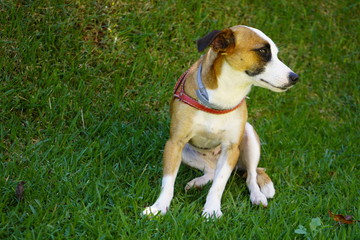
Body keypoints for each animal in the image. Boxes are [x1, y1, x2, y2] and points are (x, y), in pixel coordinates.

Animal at [143, 25, 298, 218]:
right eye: (263, 51)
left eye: (275, 53)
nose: (295, 77)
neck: (225, 94)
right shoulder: (174, 143)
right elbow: (168, 181)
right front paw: (159, 207)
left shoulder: (231, 149)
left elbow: (219, 185)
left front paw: (211, 210)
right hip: (185, 151)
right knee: (210, 171)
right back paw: (197, 183)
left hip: (249, 138)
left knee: (251, 176)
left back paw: (257, 196)